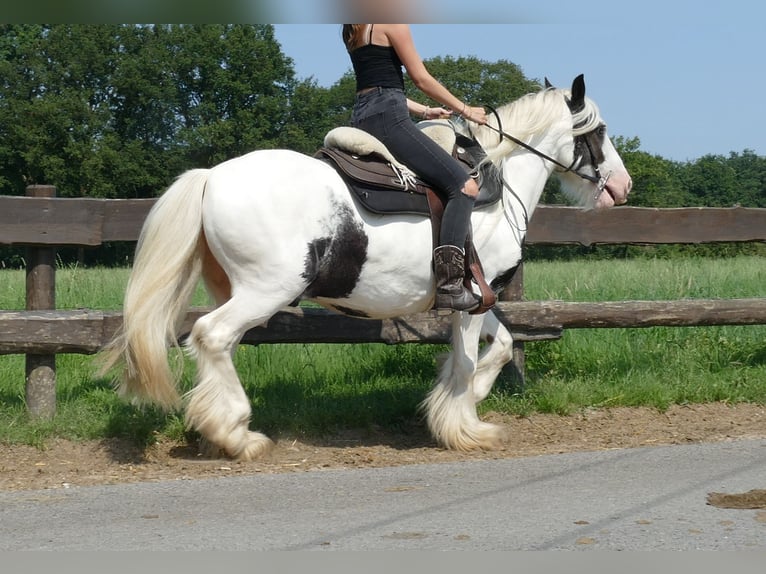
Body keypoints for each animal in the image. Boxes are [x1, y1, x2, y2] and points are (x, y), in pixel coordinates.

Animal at [99, 74, 632, 462]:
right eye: (600, 131)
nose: (623, 186)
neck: (496, 187)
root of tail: (211, 176)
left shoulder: (480, 296)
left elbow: (499, 348)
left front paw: (467, 402)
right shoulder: (470, 299)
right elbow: (467, 358)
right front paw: (461, 426)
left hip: (233, 289)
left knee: (216, 346)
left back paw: (221, 428)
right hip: (265, 290)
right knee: (210, 336)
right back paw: (238, 435)